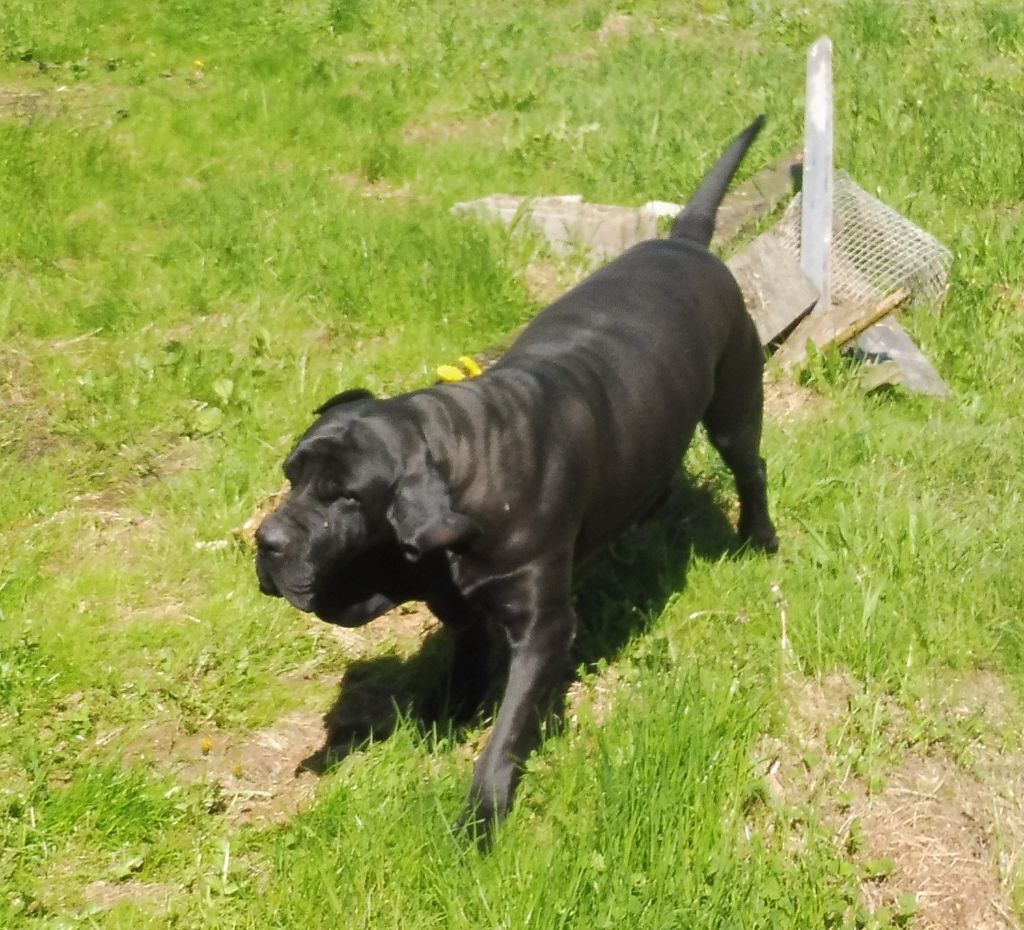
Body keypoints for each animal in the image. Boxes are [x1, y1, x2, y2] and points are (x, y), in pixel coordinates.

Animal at [256, 115, 778, 828]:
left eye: (343, 499)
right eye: (291, 475)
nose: (265, 540)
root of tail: (686, 243)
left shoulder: (544, 627)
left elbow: (508, 729)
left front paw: (482, 811)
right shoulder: (461, 605)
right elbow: (466, 662)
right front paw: (448, 715)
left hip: (734, 408)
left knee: (752, 470)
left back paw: (759, 538)